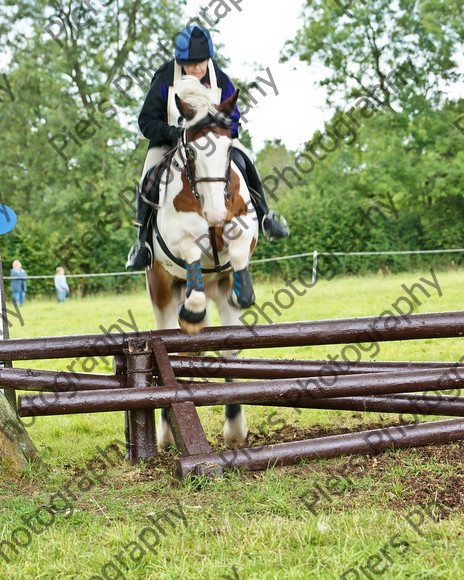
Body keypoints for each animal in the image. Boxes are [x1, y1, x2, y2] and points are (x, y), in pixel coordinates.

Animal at [146, 75, 258, 450]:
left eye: (227, 150)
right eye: (192, 151)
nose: (214, 213)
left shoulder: (244, 225)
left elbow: (238, 248)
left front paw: (245, 290)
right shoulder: (176, 238)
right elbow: (192, 248)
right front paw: (193, 312)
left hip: (220, 297)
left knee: (229, 355)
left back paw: (235, 430)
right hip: (161, 290)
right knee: (169, 344)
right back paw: (166, 433)